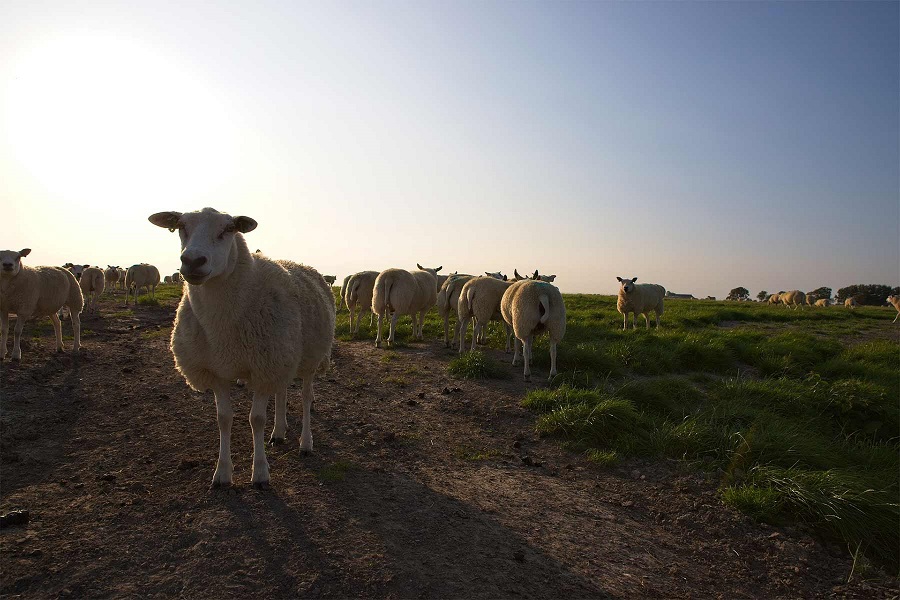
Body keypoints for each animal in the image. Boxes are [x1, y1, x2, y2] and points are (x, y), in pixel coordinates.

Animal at [149, 206, 336, 488]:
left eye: (228, 229)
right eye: (181, 226)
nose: (192, 261)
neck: (222, 330)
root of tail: (299, 264)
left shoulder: (263, 367)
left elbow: (256, 419)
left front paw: (260, 473)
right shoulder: (217, 371)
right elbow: (224, 419)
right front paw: (222, 473)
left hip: (308, 357)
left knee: (304, 397)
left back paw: (305, 442)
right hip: (283, 356)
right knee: (281, 391)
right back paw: (279, 431)